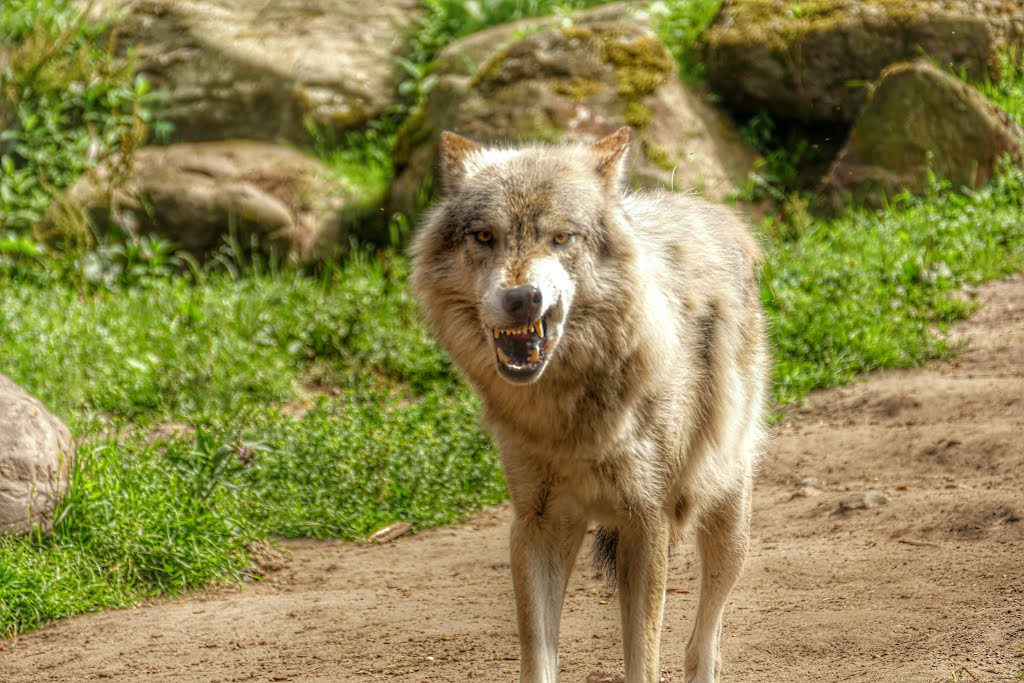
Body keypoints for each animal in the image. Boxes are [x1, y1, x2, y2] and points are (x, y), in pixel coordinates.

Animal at [407, 127, 770, 683]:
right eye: (484, 236)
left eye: (561, 238)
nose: (522, 298)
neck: (569, 419)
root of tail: (707, 208)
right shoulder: (535, 525)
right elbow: (538, 659)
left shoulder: (647, 521)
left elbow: (644, 661)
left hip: (726, 518)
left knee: (702, 643)